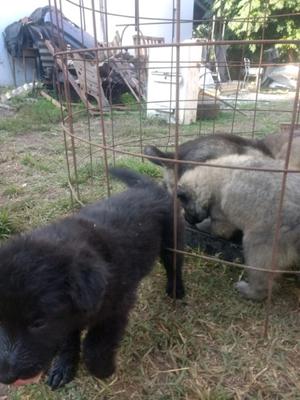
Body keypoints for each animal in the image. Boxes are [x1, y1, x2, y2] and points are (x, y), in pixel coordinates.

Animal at [0, 167, 184, 390]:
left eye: (38, 323)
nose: (7, 376)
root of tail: (148, 187)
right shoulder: (67, 319)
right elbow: (68, 342)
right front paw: (63, 368)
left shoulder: (116, 308)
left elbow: (94, 345)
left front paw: (102, 369)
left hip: (172, 239)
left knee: (174, 265)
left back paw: (176, 289)